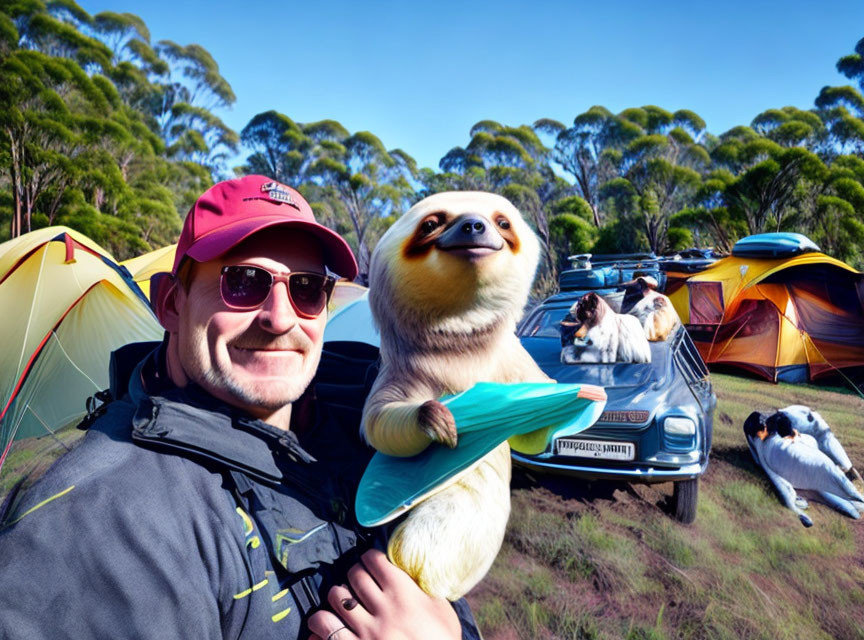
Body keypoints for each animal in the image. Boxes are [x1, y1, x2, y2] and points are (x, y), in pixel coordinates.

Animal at [362, 190, 552, 600]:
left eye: (501, 222)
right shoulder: (402, 370)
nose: (473, 225)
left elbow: (530, 428)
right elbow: (380, 420)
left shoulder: (513, 359)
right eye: (432, 223)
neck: (459, 341)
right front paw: (433, 416)